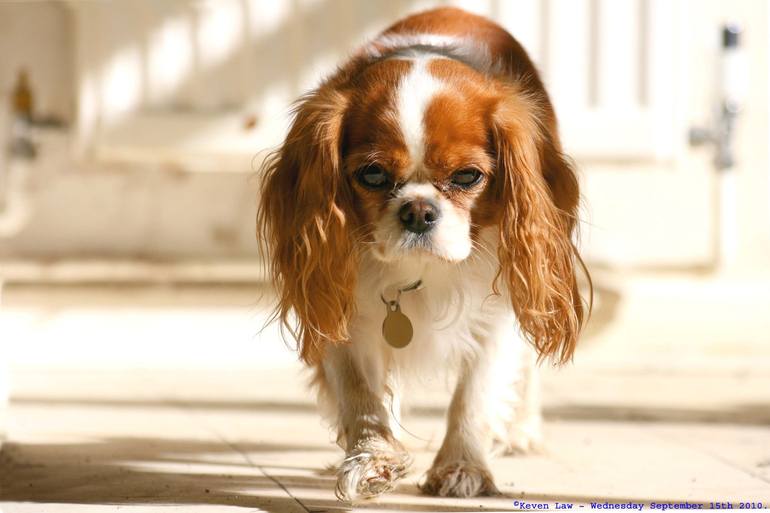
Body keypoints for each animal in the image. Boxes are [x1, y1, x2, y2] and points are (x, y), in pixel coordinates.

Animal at [258, 5, 588, 500]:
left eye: (468, 176)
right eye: (373, 175)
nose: (417, 210)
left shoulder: (497, 311)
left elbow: (474, 395)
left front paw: (462, 467)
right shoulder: (340, 305)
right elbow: (360, 392)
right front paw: (373, 457)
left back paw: (521, 431)